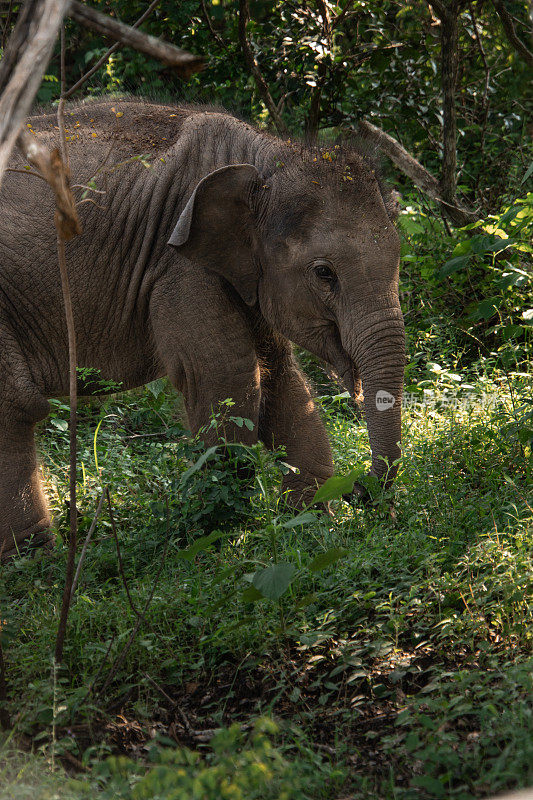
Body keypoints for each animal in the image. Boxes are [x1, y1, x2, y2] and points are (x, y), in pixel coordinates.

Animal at [0, 100, 404, 560]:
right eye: (324, 273)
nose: (360, 489)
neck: (264, 155)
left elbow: (281, 378)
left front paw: (312, 523)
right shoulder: (179, 268)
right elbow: (226, 375)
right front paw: (219, 536)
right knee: (14, 405)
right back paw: (36, 562)